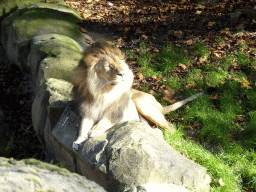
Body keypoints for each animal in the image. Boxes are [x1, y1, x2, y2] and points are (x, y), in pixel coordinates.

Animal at [71, 41, 207, 151]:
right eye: (108, 66)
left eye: (120, 63)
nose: (122, 74)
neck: (101, 91)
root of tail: (161, 107)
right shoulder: (88, 111)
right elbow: (82, 127)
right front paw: (78, 141)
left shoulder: (118, 111)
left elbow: (106, 121)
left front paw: (94, 130)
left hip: (140, 102)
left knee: (170, 127)